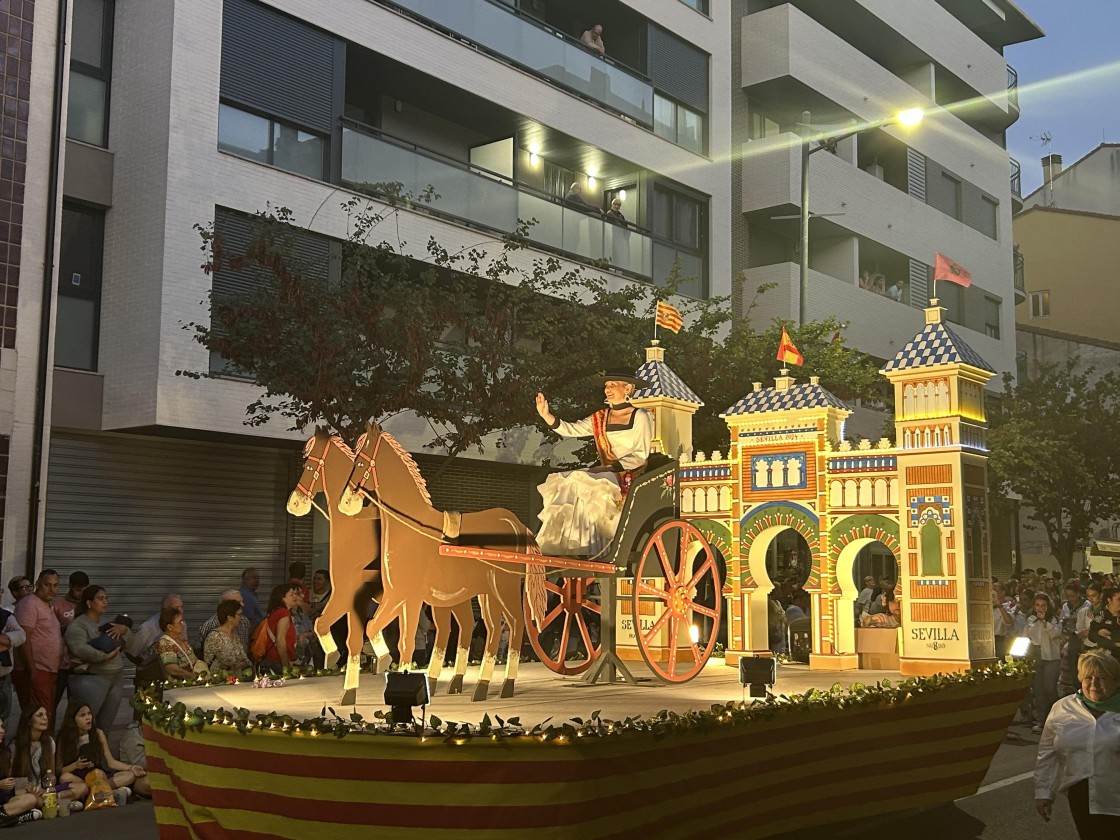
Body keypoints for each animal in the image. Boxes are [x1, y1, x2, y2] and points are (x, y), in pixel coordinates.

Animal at [336, 421, 546, 703]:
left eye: (359, 461)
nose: (346, 502)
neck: (411, 528)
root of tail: (515, 523)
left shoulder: (406, 596)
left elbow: (399, 639)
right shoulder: (402, 597)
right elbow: (386, 633)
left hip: (505, 588)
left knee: (515, 624)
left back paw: (506, 686)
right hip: (487, 594)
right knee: (492, 630)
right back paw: (481, 687)